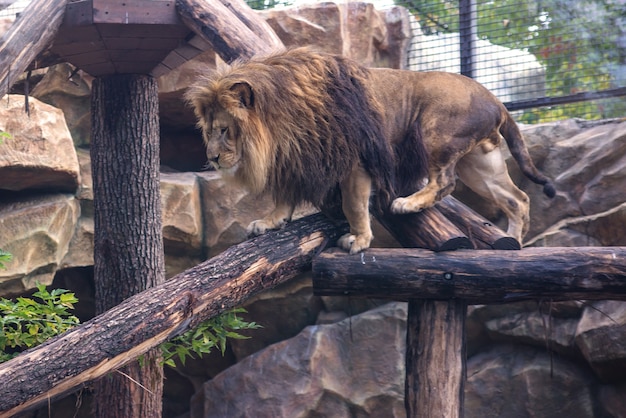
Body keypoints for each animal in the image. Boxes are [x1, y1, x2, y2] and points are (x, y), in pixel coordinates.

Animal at [184, 47, 552, 253]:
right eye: (209, 131)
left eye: (224, 130)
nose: (212, 158)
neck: (282, 128)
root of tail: (497, 100)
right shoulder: (297, 158)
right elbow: (284, 197)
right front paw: (271, 221)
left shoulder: (355, 162)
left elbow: (354, 204)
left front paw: (358, 240)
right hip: (480, 163)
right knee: (517, 198)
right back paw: (515, 243)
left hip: (434, 129)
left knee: (445, 182)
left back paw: (408, 203)